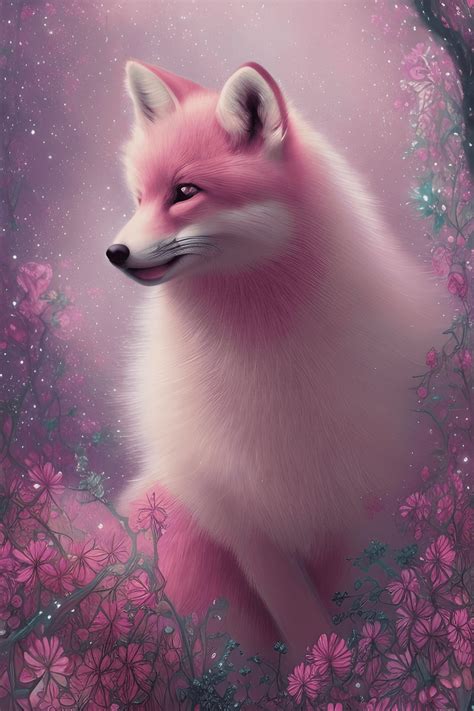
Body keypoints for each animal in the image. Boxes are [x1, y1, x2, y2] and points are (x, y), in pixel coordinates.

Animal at [107, 59, 450, 664]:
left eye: (184, 192)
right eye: (139, 196)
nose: (115, 252)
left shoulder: (359, 504)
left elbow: (349, 606)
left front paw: (345, 670)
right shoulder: (244, 523)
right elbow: (303, 622)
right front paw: (322, 672)